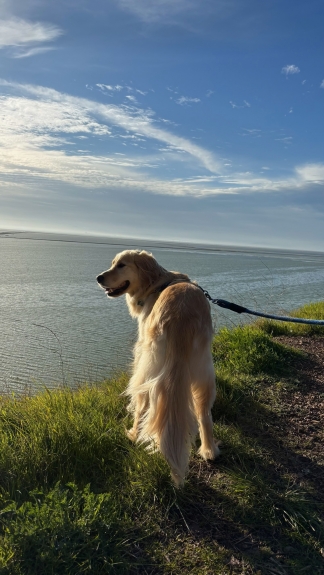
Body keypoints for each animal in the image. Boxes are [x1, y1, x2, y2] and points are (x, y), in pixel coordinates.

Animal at [95, 251, 218, 486]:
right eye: (113, 263)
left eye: (121, 265)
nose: (99, 277)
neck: (157, 283)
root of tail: (181, 316)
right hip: (204, 370)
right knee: (204, 412)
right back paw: (210, 450)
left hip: (147, 365)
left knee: (142, 402)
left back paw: (133, 433)